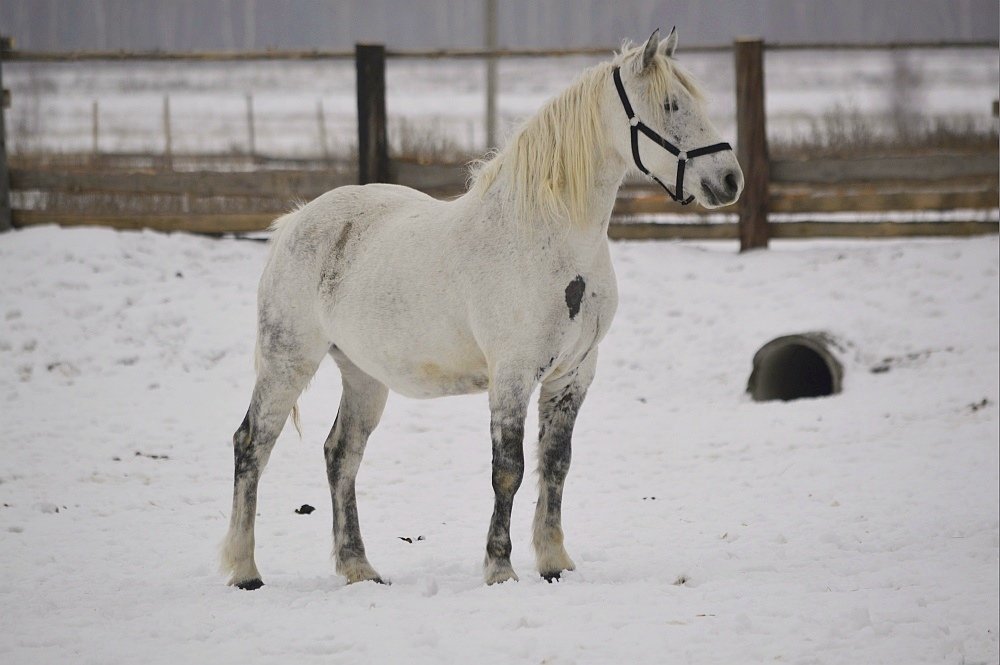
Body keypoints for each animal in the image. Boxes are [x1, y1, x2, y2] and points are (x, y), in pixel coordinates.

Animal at [225, 27, 744, 588]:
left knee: (341, 456)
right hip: (288, 362)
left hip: (363, 375)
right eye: (671, 105)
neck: (548, 237)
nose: (730, 180)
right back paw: (244, 569)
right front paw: (500, 567)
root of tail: (294, 223)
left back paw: (358, 566)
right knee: (252, 444)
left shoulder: (573, 375)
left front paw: (554, 561)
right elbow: (509, 470)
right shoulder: (512, 376)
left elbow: (555, 464)